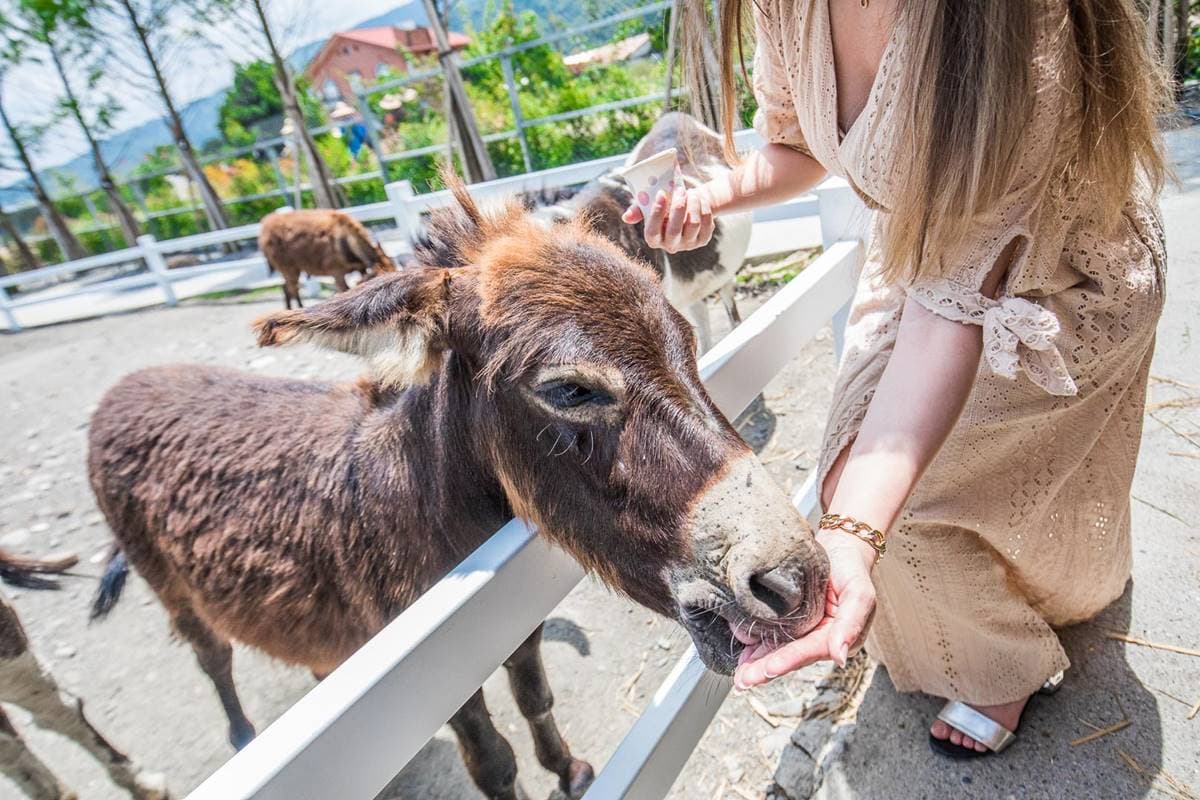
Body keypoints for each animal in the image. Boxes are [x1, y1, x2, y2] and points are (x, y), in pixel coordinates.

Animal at [258, 208, 397, 310]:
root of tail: (265, 227)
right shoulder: (337, 273)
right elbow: (345, 291)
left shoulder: (361, 268)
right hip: (289, 268)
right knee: (292, 287)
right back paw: (298, 308)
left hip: (292, 269)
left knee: (286, 287)